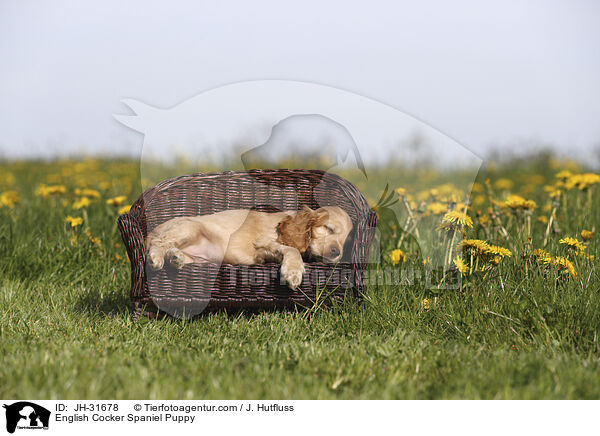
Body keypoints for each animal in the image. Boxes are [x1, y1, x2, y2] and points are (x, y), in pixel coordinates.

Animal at [144, 205, 352, 288]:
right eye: (329, 228)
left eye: (345, 241)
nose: (337, 253)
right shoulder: (264, 241)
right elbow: (293, 250)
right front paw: (293, 272)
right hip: (191, 227)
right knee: (159, 242)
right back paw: (156, 258)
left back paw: (175, 257)